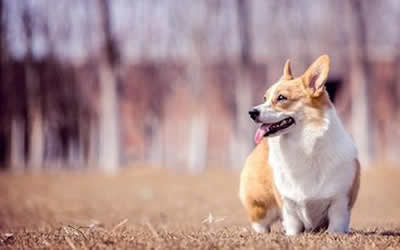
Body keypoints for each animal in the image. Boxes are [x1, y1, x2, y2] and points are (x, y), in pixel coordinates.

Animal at [239, 55, 360, 236]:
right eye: (264, 98)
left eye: (281, 98)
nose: (251, 112)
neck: (303, 145)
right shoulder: (288, 203)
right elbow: (292, 224)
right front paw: (291, 236)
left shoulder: (340, 201)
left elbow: (336, 224)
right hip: (261, 206)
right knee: (261, 223)